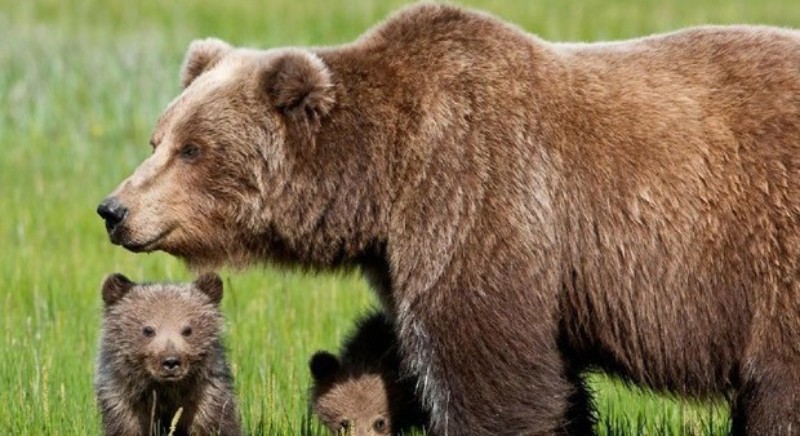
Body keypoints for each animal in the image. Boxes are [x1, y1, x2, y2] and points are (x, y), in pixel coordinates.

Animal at [98, 4, 800, 436]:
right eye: (157, 138)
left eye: (193, 149)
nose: (114, 209)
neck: (382, 176)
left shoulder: (475, 193)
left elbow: (485, 364)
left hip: (773, 255)